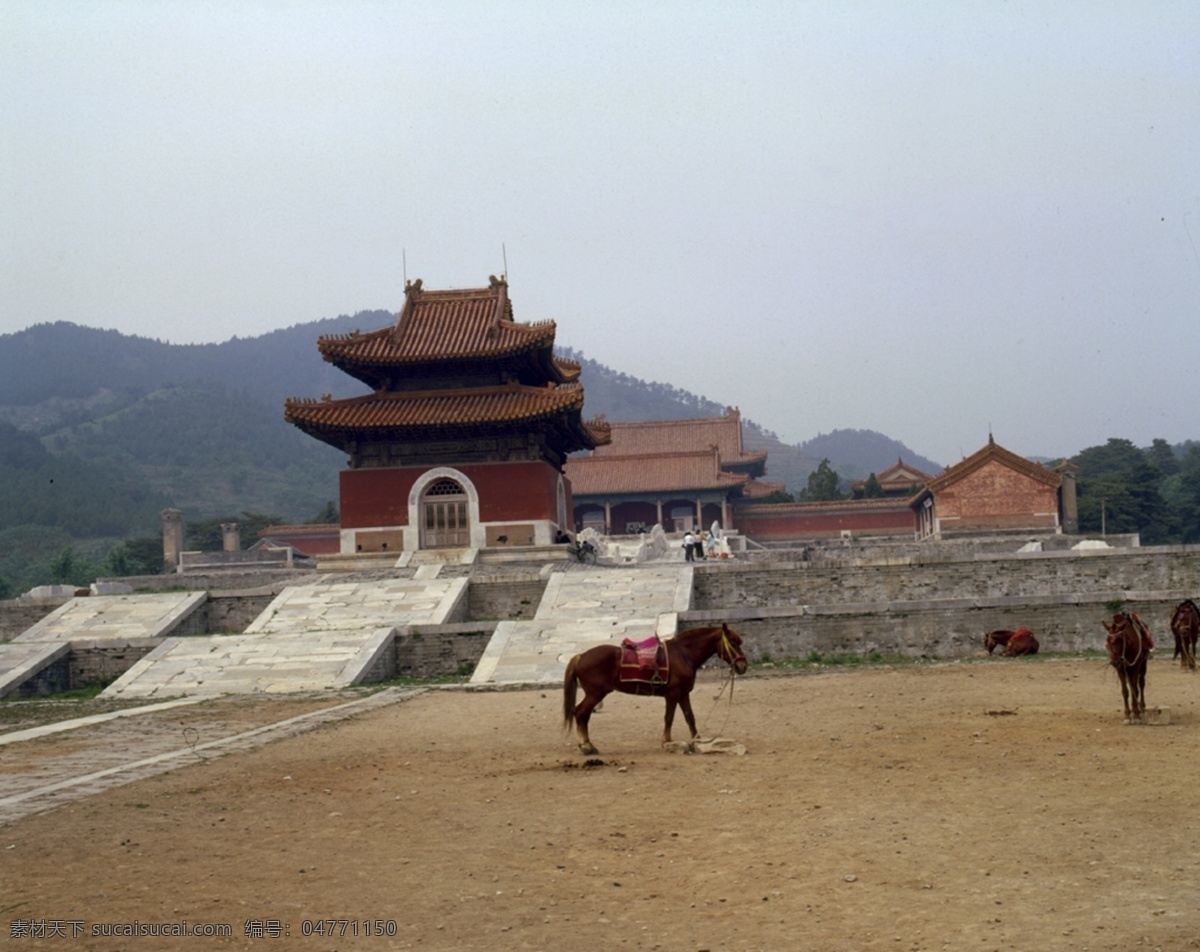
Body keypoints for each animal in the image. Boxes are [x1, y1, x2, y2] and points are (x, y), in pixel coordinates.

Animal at [559, 624, 744, 758]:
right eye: (733, 643)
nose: (743, 666)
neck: (683, 654)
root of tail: (581, 656)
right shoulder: (673, 694)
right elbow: (669, 717)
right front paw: (667, 742)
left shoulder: (684, 693)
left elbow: (690, 717)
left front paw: (697, 741)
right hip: (595, 694)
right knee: (580, 712)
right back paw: (586, 746)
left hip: (595, 694)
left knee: (583, 715)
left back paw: (588, 745)